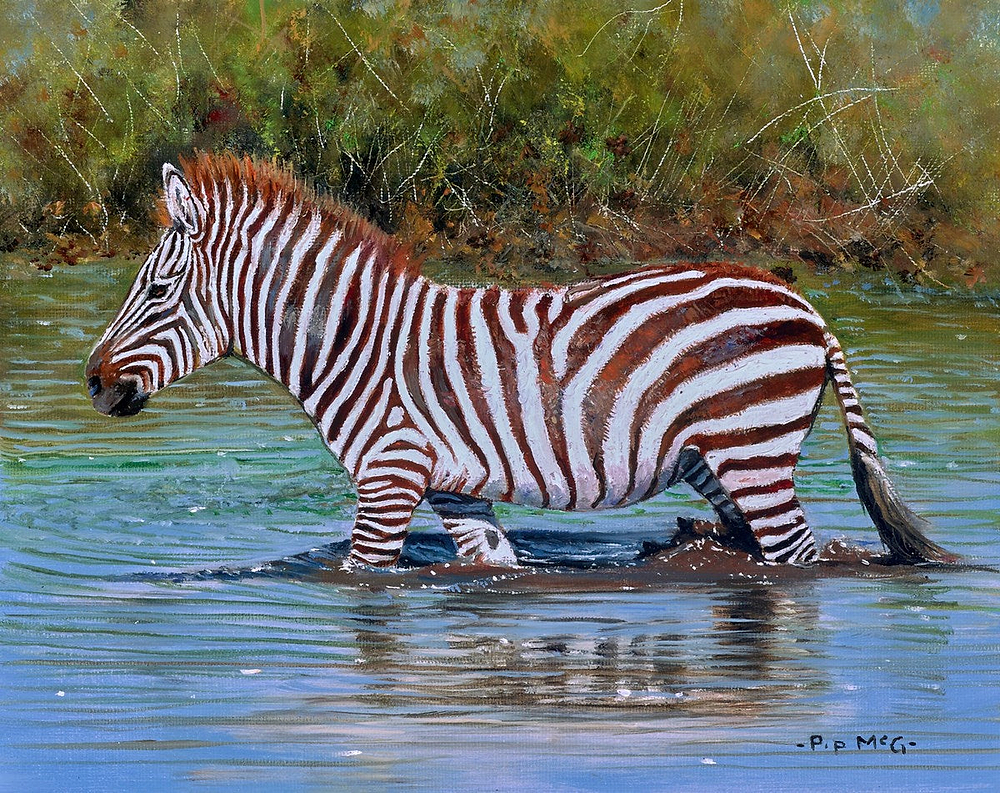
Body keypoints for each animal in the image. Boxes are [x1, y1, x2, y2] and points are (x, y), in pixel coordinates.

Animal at [86, 154, 953, 569]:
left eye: (157, 289)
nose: (92, 381)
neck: (351, 344)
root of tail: (809, 310)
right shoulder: (453, 486)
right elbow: (492, 565)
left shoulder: (389, 474)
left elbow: (363, 578)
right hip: (719, 460)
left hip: (753, 449)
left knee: (798, 558)